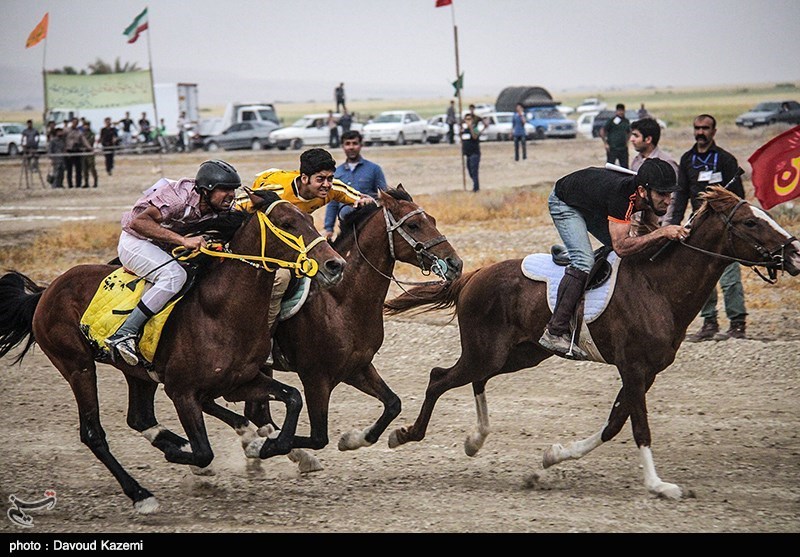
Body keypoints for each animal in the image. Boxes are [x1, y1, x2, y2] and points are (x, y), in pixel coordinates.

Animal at [0, 191, 344, 512]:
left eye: (309, 219)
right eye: (287, 223)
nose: (335, 265)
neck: (220, 311)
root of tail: (45, 292)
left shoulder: (239, 382)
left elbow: (292, 397)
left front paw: (265, 447)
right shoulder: (181, 391)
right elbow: (204, 451)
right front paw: (193, 455)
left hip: (138, 373)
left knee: (139, 418)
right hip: (77, 367)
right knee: (93, 433)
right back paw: (141, 494)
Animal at [382, 188, 800, 500]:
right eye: (750, 222)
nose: (795, 252)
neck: (659, 287)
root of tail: (473, 275)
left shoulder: (645, 372)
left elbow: (615, 423)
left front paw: (552, 457)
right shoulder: (633, 368)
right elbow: (639, 426)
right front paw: (659, 485)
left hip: (518, 354)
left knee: (475, 380)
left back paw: (475, 439)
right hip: (487, 352)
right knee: (439, 377)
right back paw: (406, 434)